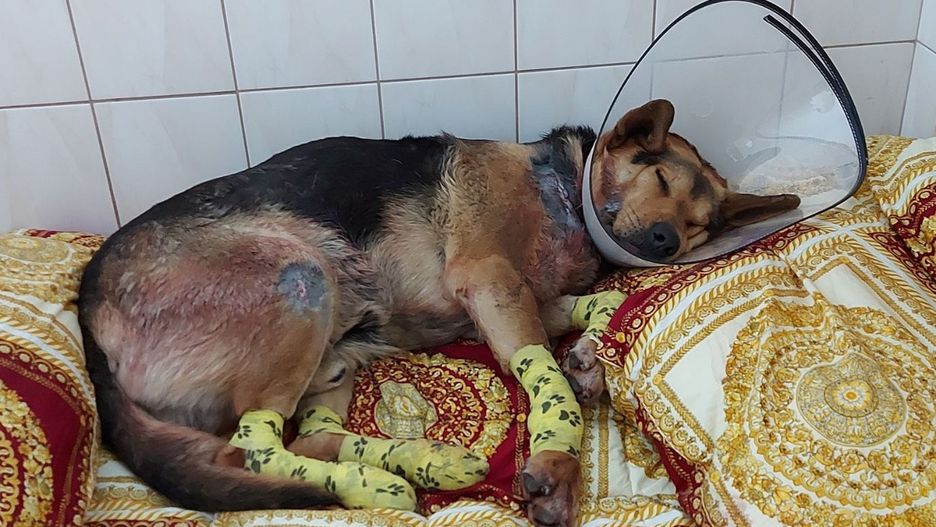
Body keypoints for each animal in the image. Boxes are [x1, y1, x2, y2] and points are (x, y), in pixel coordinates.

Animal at [78, 99, 799, 527]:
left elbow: (607, 304)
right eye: (662, 181)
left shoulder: (526, 299)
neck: (563, 193)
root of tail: (88, 316)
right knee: (254, 447)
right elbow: (549, 380)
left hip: (337, 355)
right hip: (300, 278)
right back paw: (373, 483)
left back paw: (420, 462)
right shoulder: (491, 283)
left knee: (292, 438)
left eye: (701, 225)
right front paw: (559, 461)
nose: (665, 243)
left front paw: (591, 356)